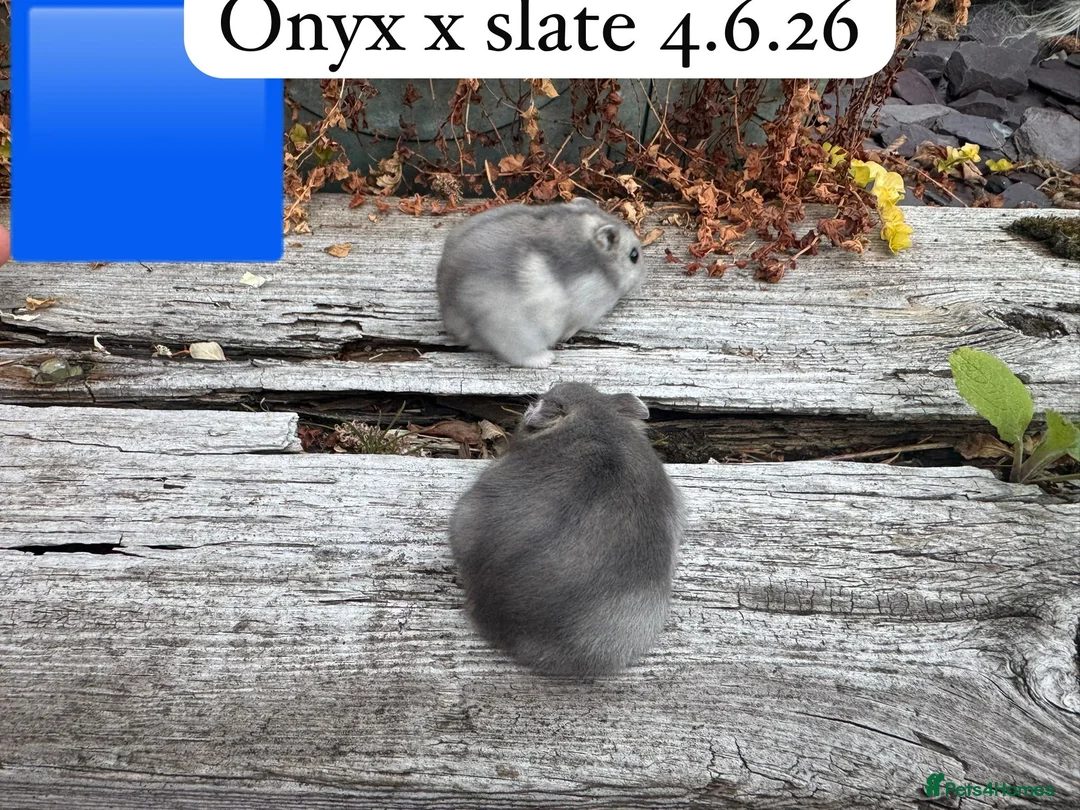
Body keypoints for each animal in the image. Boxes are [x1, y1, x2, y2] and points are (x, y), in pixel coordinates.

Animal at [436, 199, 645, 368]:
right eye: (634, 256)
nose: (644, 272)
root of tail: (452, 317)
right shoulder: (589, 309)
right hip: (514, 332)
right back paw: (546, 359)